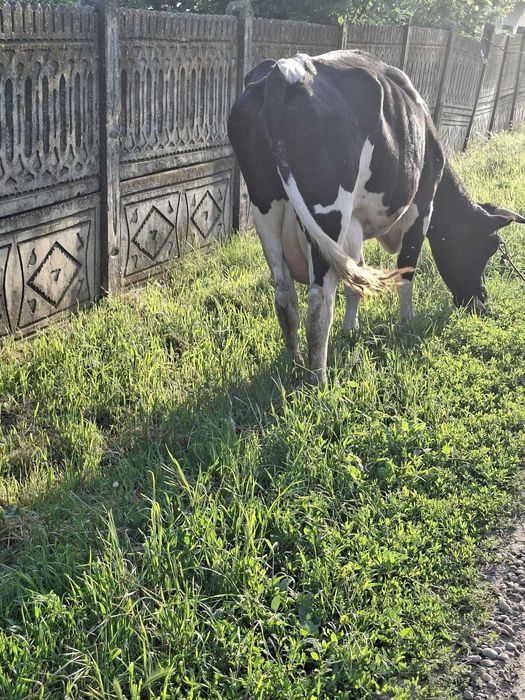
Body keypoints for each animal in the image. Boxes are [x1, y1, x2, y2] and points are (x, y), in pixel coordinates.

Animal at [227, 50, 525, 384]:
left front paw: (351, 329)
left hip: (265, 208)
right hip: (328, 212)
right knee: (319, 299)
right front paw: (407, 322)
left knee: (284, 295)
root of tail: (286, 72)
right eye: (486, 248)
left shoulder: (355, 224)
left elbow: (355, 276)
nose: (481, 303)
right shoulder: (423, 206)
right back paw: (318, 378)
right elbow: (407, 268)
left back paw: (297, 362)